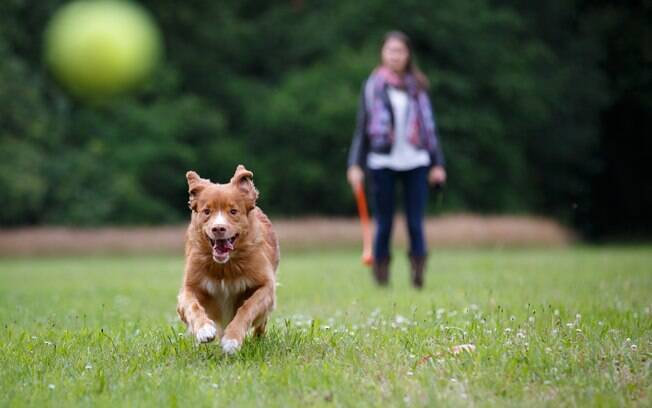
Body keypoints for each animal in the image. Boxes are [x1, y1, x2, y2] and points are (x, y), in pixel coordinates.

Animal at [176, 163, 280, 354]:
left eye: (233, 211)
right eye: (206, 211)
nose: (218, 228)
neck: (225, 266)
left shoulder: (266, 286)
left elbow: (247, 308)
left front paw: (232, 339)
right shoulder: (189, 286)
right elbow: (192, 305)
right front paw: (204, 329)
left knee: (261, 324)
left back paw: (258, 340)